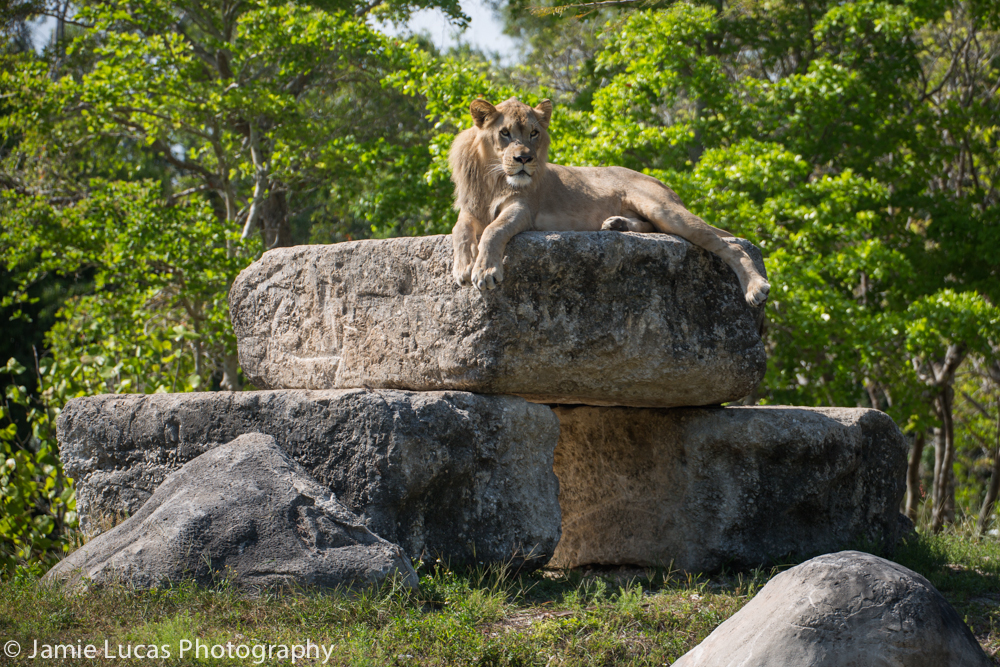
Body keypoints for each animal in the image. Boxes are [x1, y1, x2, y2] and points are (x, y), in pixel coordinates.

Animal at [449, 97, 770, 307]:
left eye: (534, 133)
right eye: (504, 133)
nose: (524, 159)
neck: (492, 178)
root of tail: (662, 183)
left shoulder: (523, 208)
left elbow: (493, 230)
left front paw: (485, 271)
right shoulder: (471, 208)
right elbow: (460, 230)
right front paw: (464, 266)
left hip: (664, 208)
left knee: (731, 246)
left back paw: (756, 288)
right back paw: (617, 223)